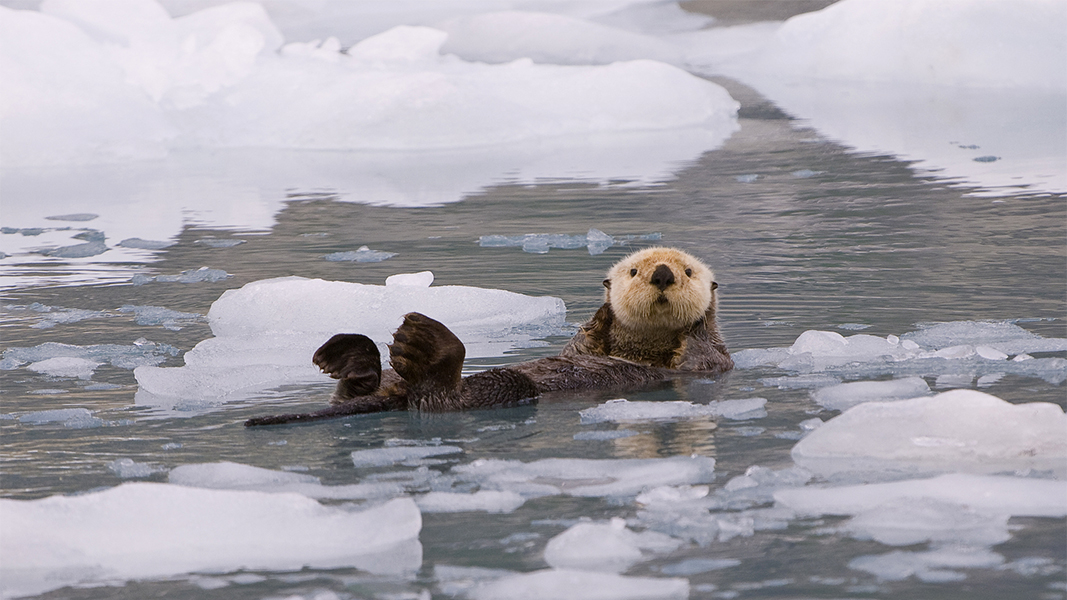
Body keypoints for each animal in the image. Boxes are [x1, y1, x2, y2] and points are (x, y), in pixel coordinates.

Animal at [247, 245, 734, 422]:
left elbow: (701, 353)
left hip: (502, 387)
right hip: (390, 383)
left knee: (442, 397)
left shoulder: (711, 361)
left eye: (688, 271)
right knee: (364, 385)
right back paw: (350, 355)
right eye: (634, 271)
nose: (663, 274)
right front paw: (598, 316)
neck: (642, 349)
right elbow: (580, 343)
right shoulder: (583, 344)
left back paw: (424, 346)